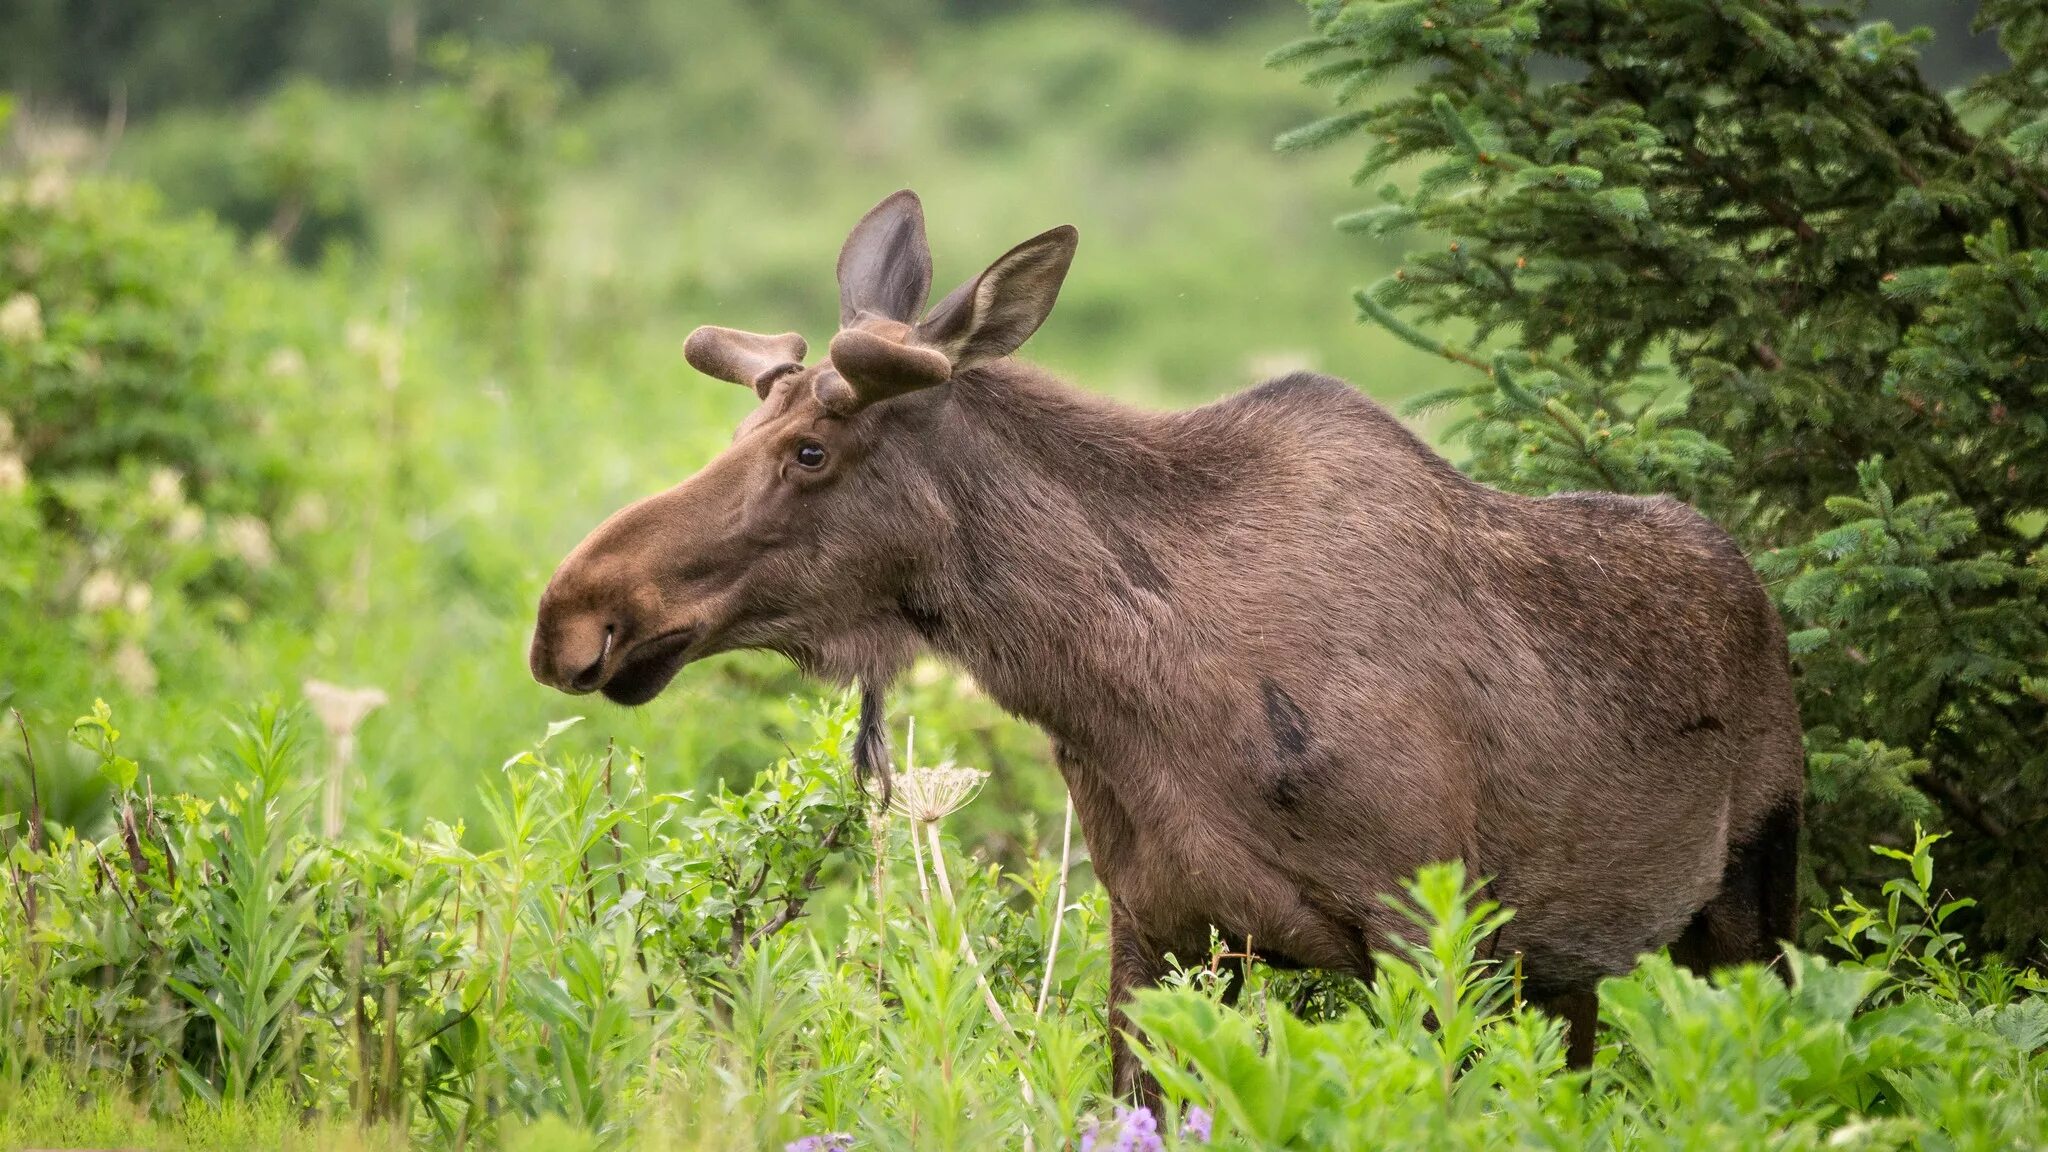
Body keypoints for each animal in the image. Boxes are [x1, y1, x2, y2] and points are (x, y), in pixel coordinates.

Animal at [532, 188, 1810, 1082]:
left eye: (809, 451)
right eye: (748, 429)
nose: (572, 616)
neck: (1122, 695)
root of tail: (1759, 597)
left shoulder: (1424, 930)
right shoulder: (1158, 929)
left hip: (1750, 893)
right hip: (1567, 969)